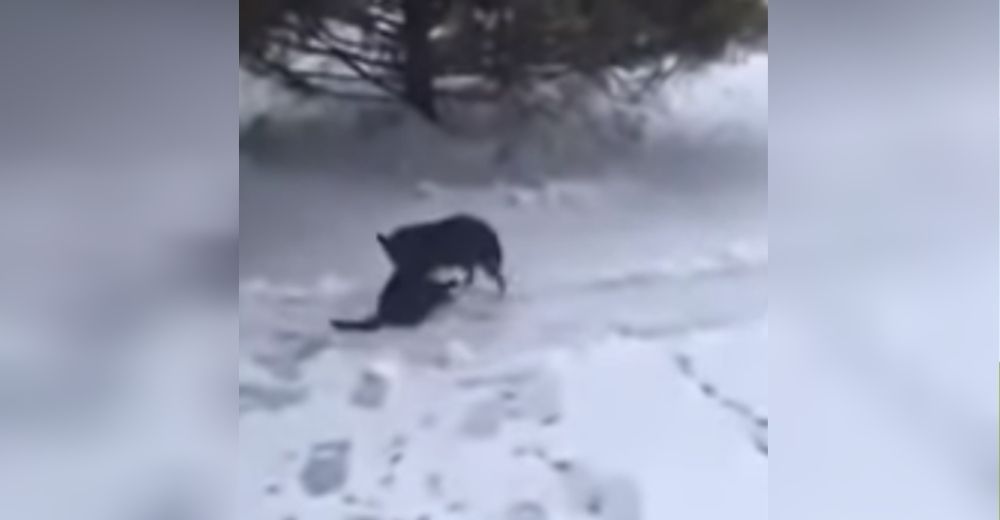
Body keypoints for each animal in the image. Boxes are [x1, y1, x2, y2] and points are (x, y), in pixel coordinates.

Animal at [378, 214, 512, 294]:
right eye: (391, 254)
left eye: (395, 254)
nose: (398, 265)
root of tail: (488, 230)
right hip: (477, 258)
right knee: (481, 275)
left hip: (470, 258)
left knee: (480, 275)